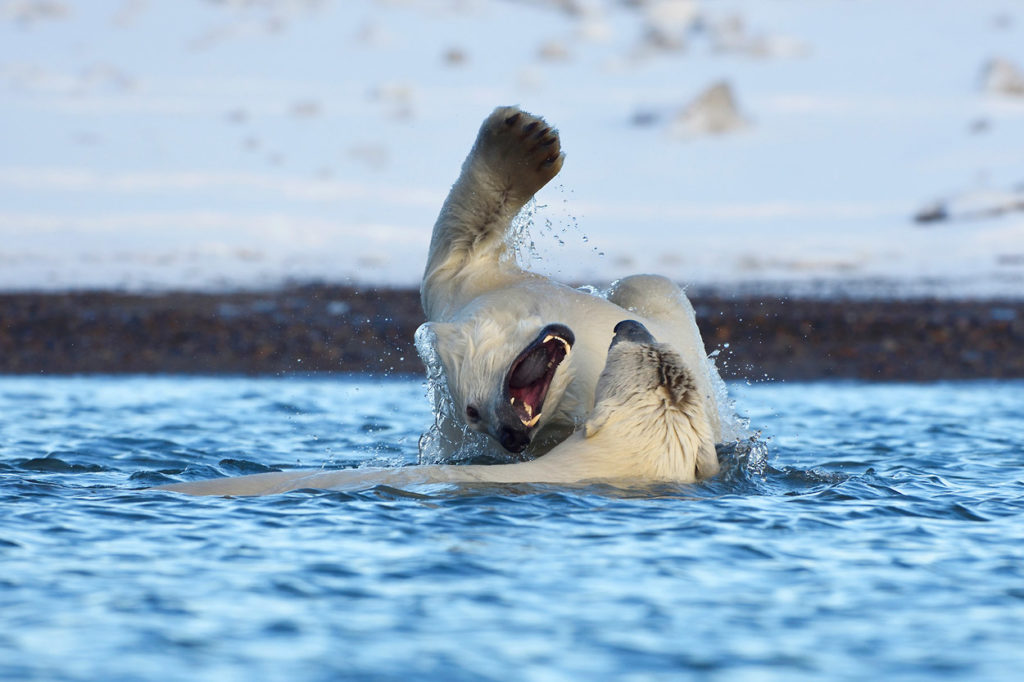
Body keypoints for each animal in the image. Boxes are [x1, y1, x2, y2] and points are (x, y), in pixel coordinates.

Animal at [419, 106, 733, 458]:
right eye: (472, 414)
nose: (510, 436)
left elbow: (460, 246)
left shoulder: (463, 287)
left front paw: (523, 142)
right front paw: (522, 142)